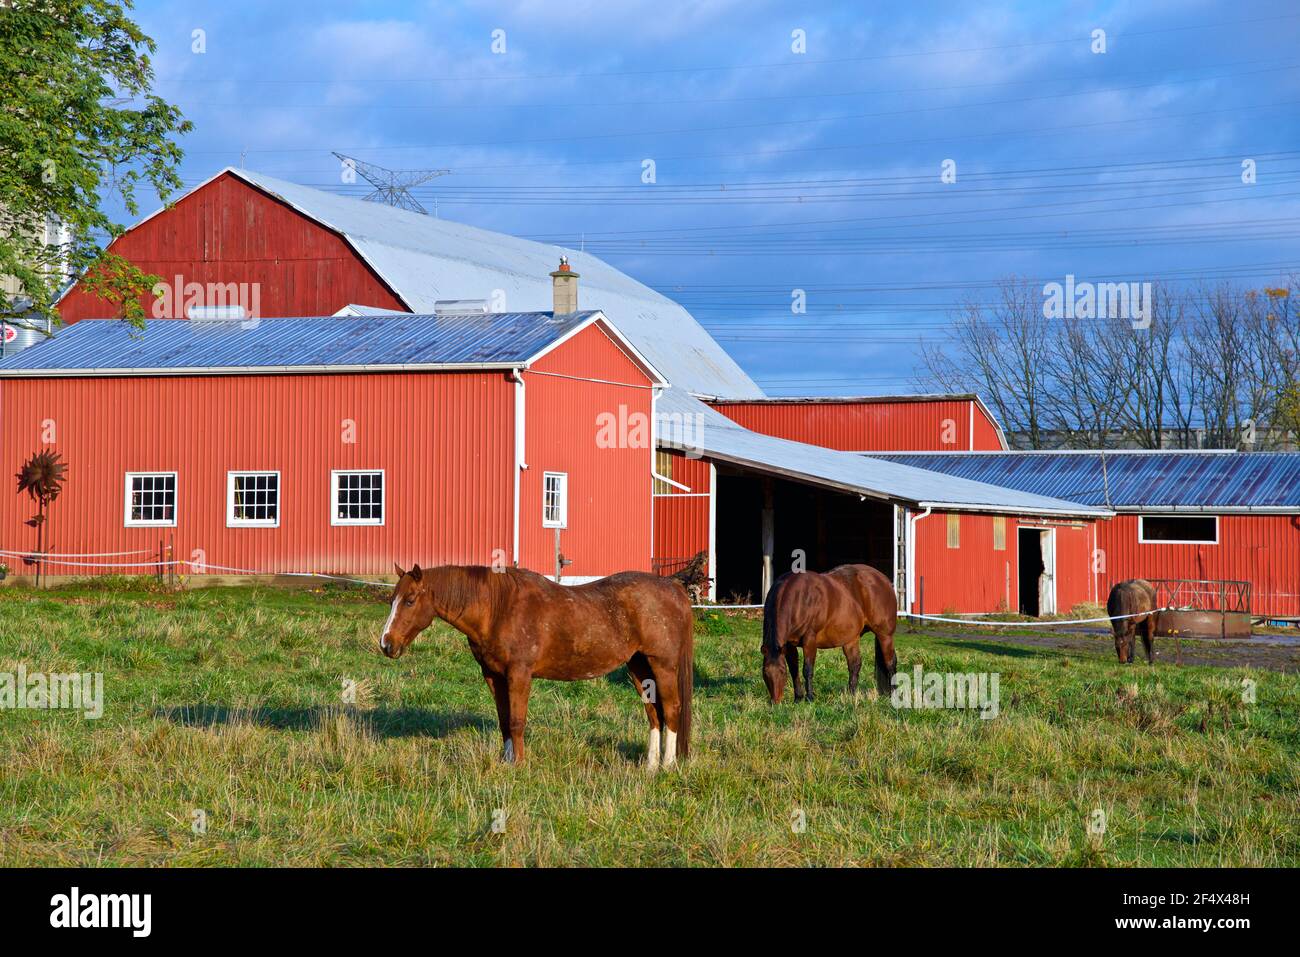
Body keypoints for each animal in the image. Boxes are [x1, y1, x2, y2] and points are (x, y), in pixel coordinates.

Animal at [379, 564, 696, 764]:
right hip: (638, 667)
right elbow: (504, 720)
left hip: (662, 665)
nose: (386, 643)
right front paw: (507, 761)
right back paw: (650, 765)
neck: (499, 608)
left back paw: (667, 765)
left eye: (410, 600)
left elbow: (516, 721)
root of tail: (673, 587)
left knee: (671, 708)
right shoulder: (493, 676)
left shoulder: (519, 674)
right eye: (392, 599)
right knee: (654, 714)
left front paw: (519, 764)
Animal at [759, 561, 894, 702]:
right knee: (855, 665)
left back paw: (893, 695)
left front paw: (810, 698)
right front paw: (798, 698)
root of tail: (883, 579)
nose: (775, 702)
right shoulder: (789, 644)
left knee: (890, 663)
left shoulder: (809, 640)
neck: (800, 599)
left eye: (782, 672)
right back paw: (851, 696)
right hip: (851, 639)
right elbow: (794, 669)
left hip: (885, 635)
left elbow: (807, 669)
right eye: (765, 672)